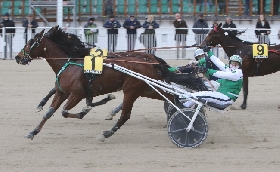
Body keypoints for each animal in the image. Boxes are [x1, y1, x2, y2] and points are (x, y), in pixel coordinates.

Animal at [13, 27, 203, 142]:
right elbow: (50, 112)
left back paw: (107, 133)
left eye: (30, 43)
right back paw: (182, 115)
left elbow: (66, 111)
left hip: (131, 90)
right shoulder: (62, 92)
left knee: (125, 115)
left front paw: (85, 110)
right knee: (171, 98)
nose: (17, 57)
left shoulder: (77, 94)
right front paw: (33, 132)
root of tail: (150, 61)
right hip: (148, 88)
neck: (70, 64)